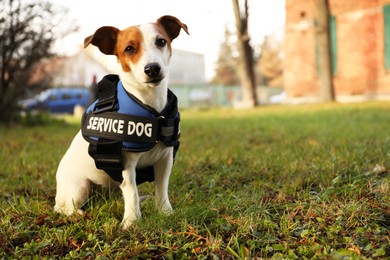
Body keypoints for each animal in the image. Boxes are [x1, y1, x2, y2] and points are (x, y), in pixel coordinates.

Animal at [54, 15, 189, 229]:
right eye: (129, 49)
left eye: (161, 41)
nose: (152, 69)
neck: (150, 105)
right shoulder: (126, 166)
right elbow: (131, 191)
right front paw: (132, 221)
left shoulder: (165, 160)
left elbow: (162, 189)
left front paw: (165, 212)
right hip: (79, 188)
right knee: (63, 208)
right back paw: (79, 213)